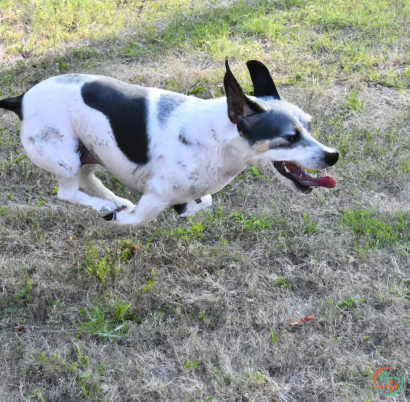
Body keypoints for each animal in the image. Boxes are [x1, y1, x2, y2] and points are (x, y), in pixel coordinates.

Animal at [0, 61, 338, 228]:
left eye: (309, 127)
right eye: (289, 137)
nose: (332, 156)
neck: (217, 138)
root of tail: (21, 99)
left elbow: (203, 202)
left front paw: (186, 209)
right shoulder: (157, 196)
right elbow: (136, 221)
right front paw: (117, 218)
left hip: (85, 153)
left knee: (89, 179)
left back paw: (115, 200)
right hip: (65, 157)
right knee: (67, 193)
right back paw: (106, 207)